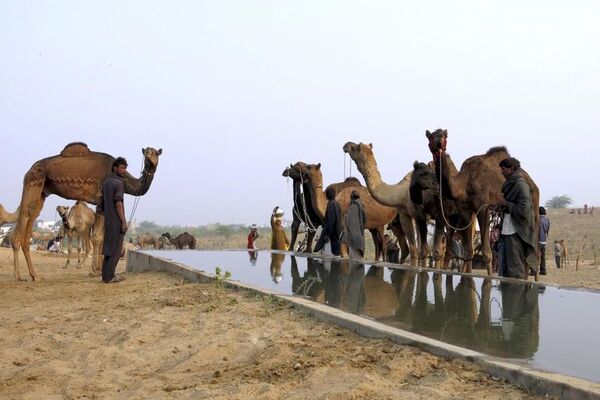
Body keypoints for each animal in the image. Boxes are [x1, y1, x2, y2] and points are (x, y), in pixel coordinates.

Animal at [11, 144, 162, 282]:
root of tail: (30, 169)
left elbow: (103, 237)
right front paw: (94, 271)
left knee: (31, 218)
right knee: (23, 216)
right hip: (33, 183)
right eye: (146, 153)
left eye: (155, 153)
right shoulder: (100, 201)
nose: (149, 158)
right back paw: (18, 276)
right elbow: (97, 238)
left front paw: (99, 269)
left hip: (42, 192)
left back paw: (34, 275)